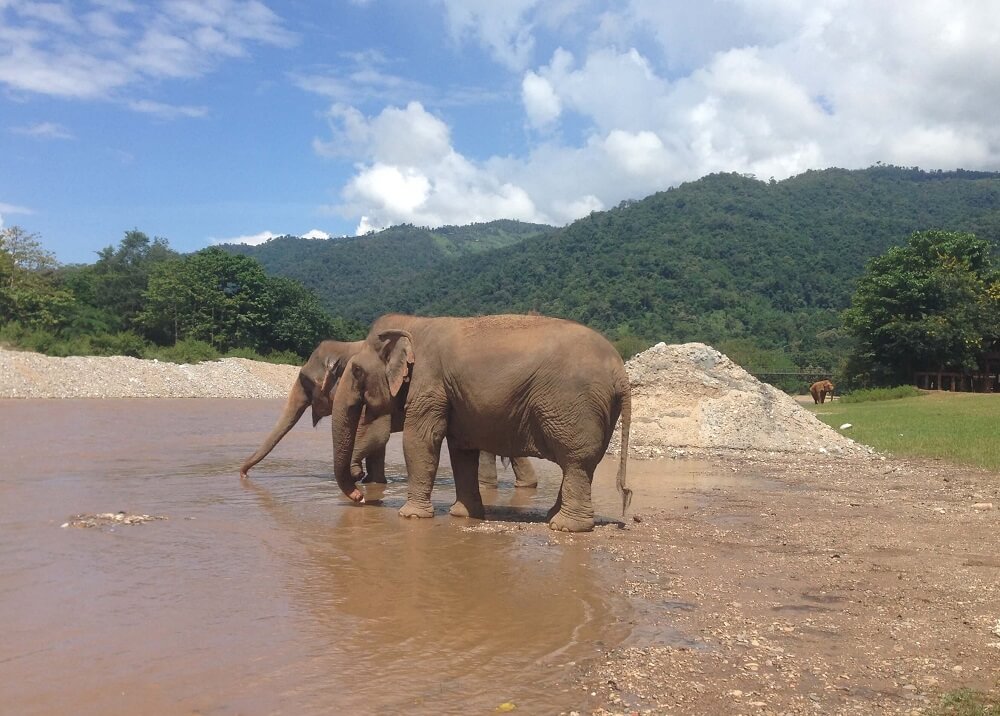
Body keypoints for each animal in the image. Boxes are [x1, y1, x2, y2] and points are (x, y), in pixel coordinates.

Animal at [240, 340, 540, 486]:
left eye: (305, 381)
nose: (242, 474)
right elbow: (376, 438)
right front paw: (373, 481)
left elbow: (373, 433)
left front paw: (361, 476)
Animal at [330, 314, 632, 532]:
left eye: (356, 371)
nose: (359, 495)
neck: (413, 324)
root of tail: (620, 371)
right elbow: (461, 450)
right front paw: (462, 515)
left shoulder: (430, 383)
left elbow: (421, 440)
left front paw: (410, 517)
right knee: (583, 463)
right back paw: (554, 517)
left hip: (575, 406)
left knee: (576, 460)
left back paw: (565, 526)